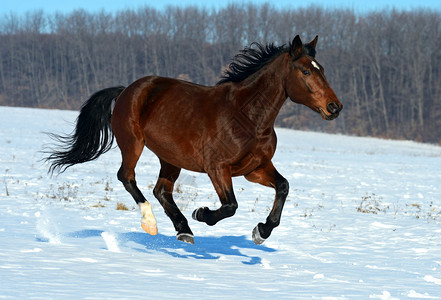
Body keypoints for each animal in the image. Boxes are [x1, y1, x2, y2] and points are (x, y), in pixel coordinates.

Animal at [45, 35, 340, 245]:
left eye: (322, 69)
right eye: (305, 72)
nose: (335, 107)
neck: (246, 116)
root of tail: (127, 89)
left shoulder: (254, 168)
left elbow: (283, 186)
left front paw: (261, 231)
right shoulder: (217, 167)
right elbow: (230, 205)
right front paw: (202, 213)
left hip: (171, 157)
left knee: (161, 190)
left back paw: (184, 230)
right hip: (133, 144)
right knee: (127, 177)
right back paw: (152, 224)